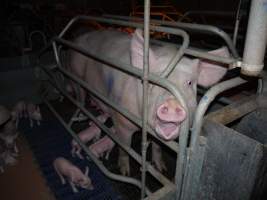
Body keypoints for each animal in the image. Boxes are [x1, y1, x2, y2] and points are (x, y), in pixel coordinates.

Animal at [69, 28, 230, 175]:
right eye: (155, 81)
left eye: (189, 83)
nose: (172, 104)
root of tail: (80, 36)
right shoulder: (122, 120)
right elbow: (125, 147)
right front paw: (125, 172)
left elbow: (158, 147)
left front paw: (161, 169)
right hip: (76, 74)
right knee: (79, 95)